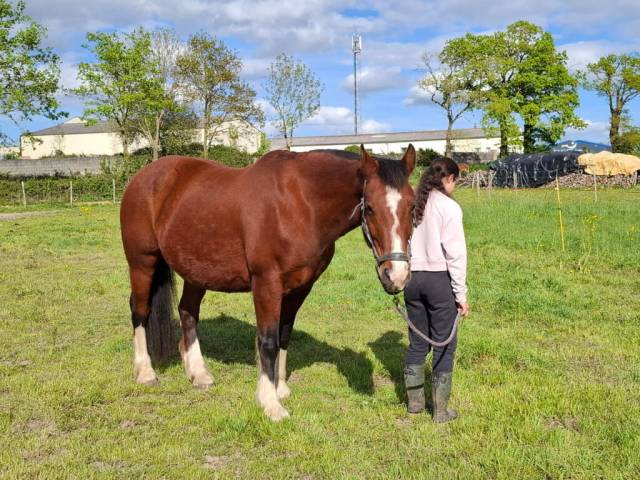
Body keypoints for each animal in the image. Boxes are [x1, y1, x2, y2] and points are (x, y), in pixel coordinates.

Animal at [120, 145, 416, 421]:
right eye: (370, 207)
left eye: (413, 206)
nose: (396, 275)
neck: (300, 204)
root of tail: (144, 176)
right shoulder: (266, 283)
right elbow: (268, 340)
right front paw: (270, 403)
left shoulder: (300, 287)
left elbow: (284, 335)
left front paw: (280, 387)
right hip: (142, 263)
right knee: (140, 310)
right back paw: (145, 372)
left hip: (197, 270)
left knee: (188, 312)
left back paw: (199, 373)